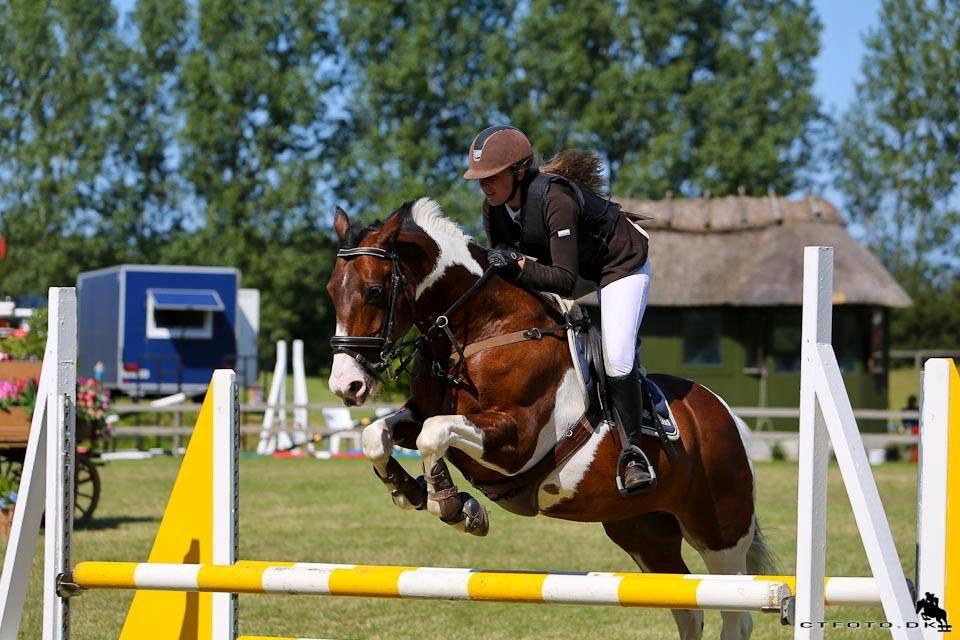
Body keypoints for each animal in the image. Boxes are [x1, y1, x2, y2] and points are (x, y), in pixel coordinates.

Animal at [327, 197, 773, 640]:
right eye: (332, 291)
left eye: (374, 291)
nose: (346, 385)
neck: (482, 330)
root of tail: (726, 414)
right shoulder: (420, 413)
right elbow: (376, 435)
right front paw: (410, 491)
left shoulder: (516, 441)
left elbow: (434, 435)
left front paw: (454, 506)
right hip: (643, 531)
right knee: (687, 610)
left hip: (719, 532)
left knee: (735, 614)